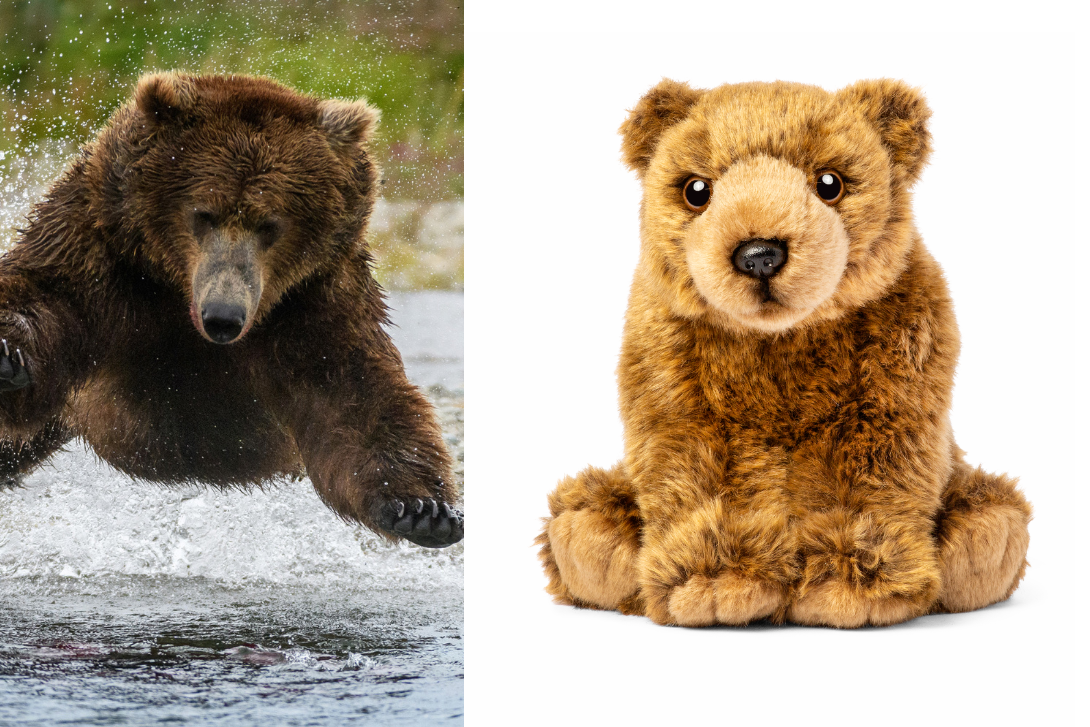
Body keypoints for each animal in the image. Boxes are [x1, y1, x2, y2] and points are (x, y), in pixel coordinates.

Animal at [0, 75, 462, 551]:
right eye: (203, 213)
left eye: (271, 224)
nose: (223, 316)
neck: (174, 290)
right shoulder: (101, 253)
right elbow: (46, 298)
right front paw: (6, 355)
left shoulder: (314, 300)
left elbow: (355, 393)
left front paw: (423, 509)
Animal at [536, 78, 1028, 627]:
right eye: (697, 191)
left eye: (830, 184)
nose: (759, 254)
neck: (780, 340)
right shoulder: (677, 387)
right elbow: (694, 474)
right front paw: (718, 581)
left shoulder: (893, 381)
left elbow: (873, 479)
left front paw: (850, 584)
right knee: (586, 520)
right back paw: (596, 544)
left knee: (992, 519)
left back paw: (978, 540)